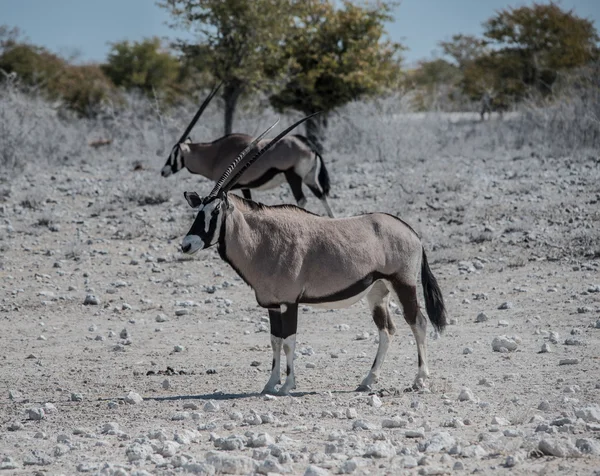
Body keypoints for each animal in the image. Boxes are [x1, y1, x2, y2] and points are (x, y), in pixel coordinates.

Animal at [162, 85, 336, 218]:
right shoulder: (245, 187)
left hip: (294, 177)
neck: (214, 155)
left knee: (302, 199)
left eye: (174, 153)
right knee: (321, 195)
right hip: (309, 177)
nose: (163, 171)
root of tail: (307, 144)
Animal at [180, 115, 448, 394]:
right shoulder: (273, 305)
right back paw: (368, 380)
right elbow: (275, 341)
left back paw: (420, 379)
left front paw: (287, 385)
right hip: (377, 291)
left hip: (403, 283)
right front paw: (270, 384)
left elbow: (289, 341)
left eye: (214, 212)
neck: (263, 240)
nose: (186, 245)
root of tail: (411, 232)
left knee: (418, 322)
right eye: (198, 211)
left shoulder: (289, 302)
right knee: (387, 330)